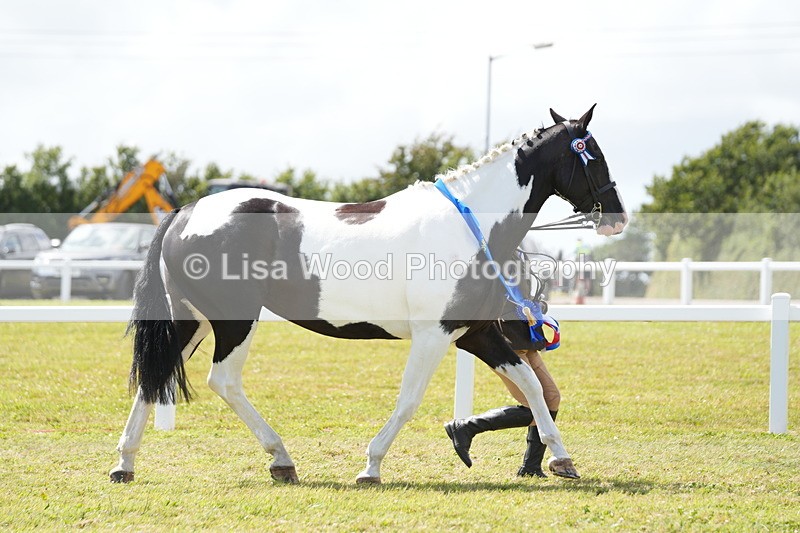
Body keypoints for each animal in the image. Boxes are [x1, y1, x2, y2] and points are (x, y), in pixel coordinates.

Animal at [109, 105, 626, 485]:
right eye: (593, 154)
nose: (616, 215)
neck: (468, 227)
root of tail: (185, 211)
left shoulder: (474, 333)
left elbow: (533, 387)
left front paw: (562, 459)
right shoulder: (434, 335)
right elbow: (410, 400)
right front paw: (371, 466)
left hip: (191, 320)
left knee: (155, 379)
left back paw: (124, 464)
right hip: (234, 320)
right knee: (224, 381)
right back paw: (281, 459)